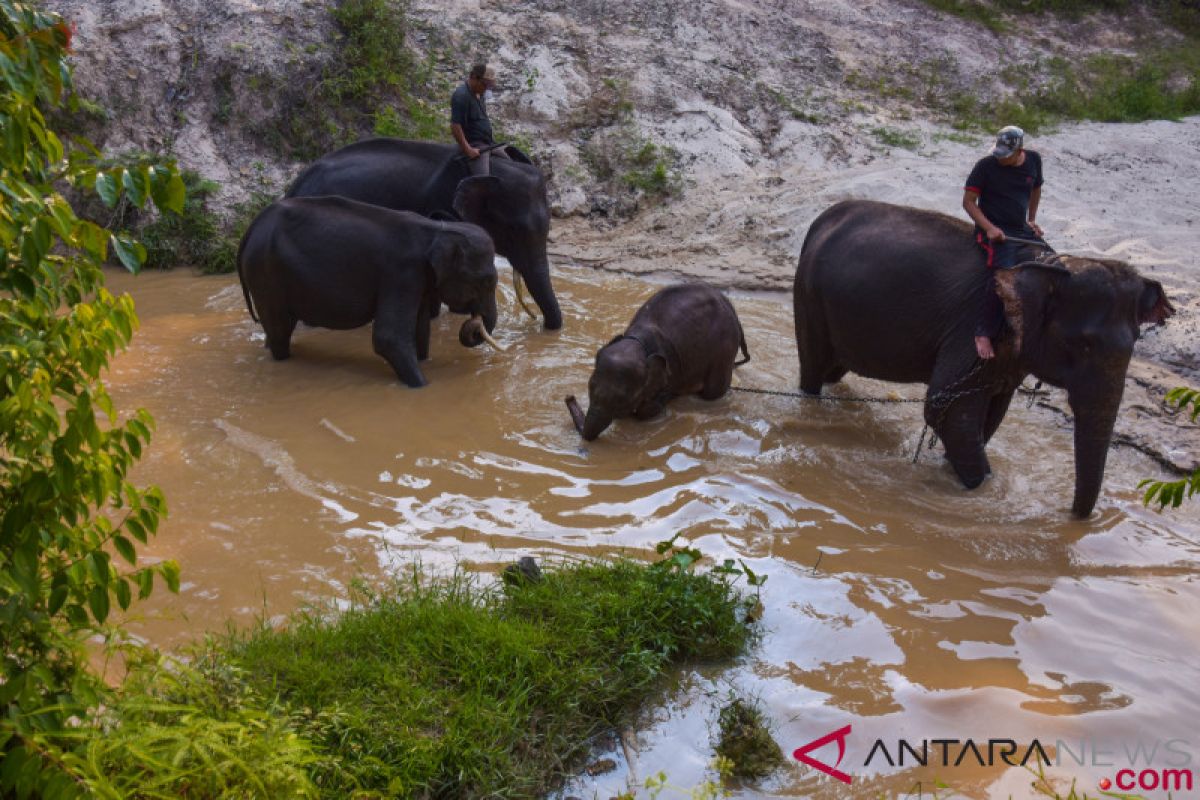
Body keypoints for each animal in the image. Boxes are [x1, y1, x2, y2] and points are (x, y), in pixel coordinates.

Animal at [236, 196, 499, 391]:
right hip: (265, 274)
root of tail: (250, 230)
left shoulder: (420, 280)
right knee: (280, 329)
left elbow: (420, 329)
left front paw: (424, 361)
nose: (474, 327)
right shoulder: (402, 275)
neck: (438, 230)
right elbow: (388, 338)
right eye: (486, 281)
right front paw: (423, 387)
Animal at [792, 196, 1176, 515]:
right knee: (812, 369)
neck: (1047, 267)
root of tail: (821, 219)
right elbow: (946, 406)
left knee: (834, 370)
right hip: (808, 295)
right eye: (1083, 345)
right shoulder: (976, 323)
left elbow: (992, 412)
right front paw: (983, 493)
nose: (1073, 517)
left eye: (1135, 342)